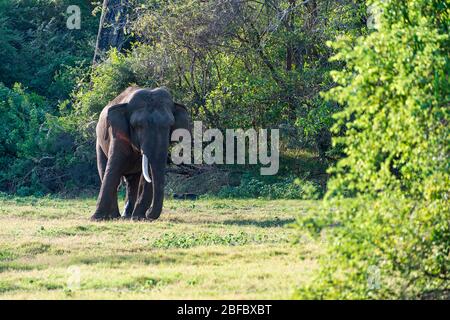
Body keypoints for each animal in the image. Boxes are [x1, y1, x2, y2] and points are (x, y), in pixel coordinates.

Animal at [91, 87, 190, 222]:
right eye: (138, 126)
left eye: (170, 125)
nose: (149, 212)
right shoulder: (118, 134)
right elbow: (113, 168)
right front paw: (97, 218)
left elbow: (146, 175)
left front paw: (139, 218)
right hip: (99, 144)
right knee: (106, 171)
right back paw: (115, 216)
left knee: (132, 182)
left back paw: (127, 216)